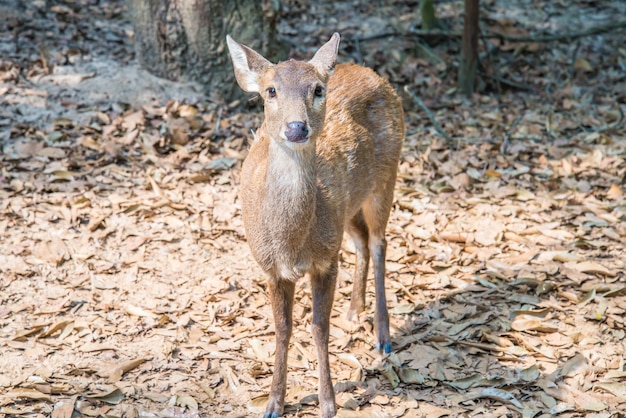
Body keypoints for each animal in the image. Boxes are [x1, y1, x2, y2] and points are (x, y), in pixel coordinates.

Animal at [227, 33, 402, 418]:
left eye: (318, 89)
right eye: (271, 90)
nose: (296, 127)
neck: (291, 243)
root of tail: (373, 74)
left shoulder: (325, 261)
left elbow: (320, 327)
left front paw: (328, 402)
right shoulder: (271, 268)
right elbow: (282, 328)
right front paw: (274, 403)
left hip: (387, 176)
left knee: (379, 242)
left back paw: (383, 337)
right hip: (348, 209)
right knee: (362, 241)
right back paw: (354, 311)